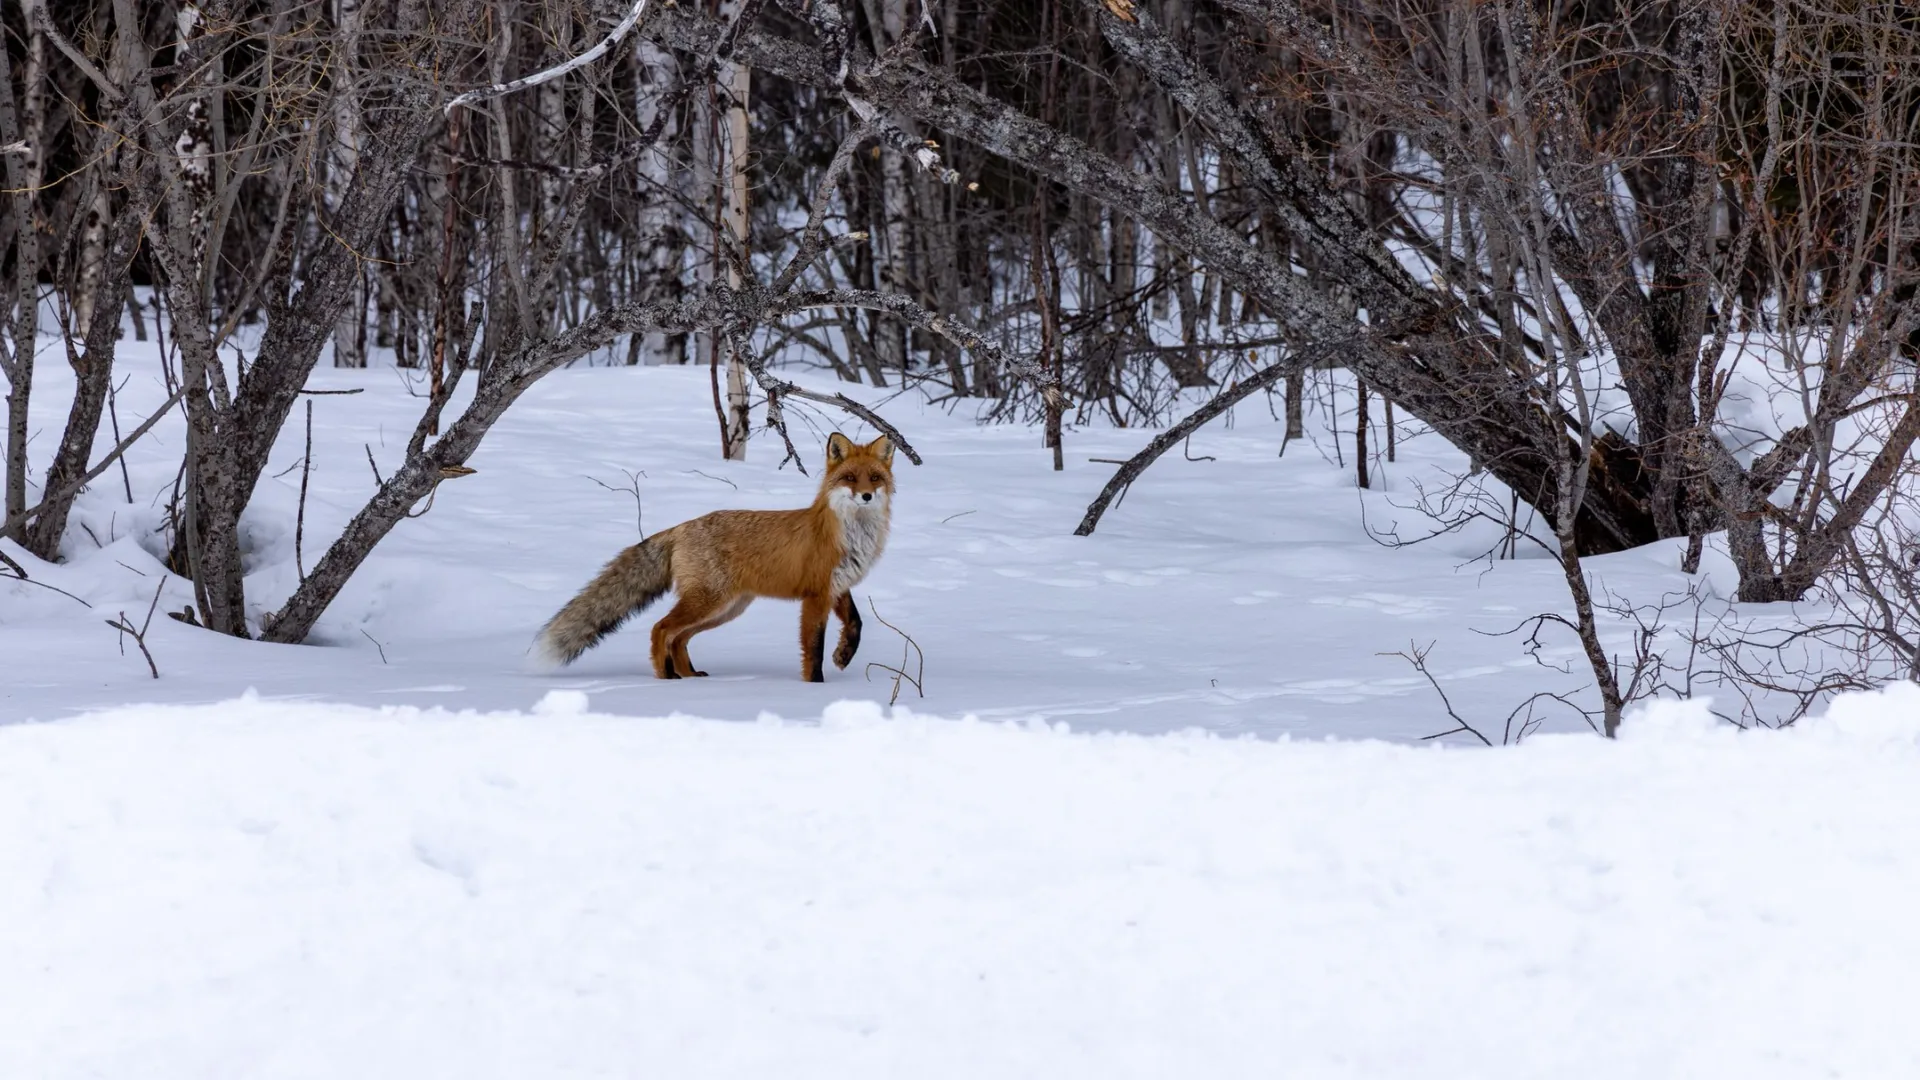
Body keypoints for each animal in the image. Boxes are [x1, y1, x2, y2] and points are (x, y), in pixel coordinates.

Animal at [533, 430, 898, 676]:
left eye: (874, 478)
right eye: (849, 478)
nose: (866, 496)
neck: (851, 535)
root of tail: (681, 526)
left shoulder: (838, 586)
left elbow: (856, 623)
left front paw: (844, 655)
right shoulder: (816, 595)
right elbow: (813, 650)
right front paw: (816, 686)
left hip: (726, 608)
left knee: (678, 638)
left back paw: (689, 676)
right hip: (711, 601)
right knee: (661, 629)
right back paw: (665, 677)